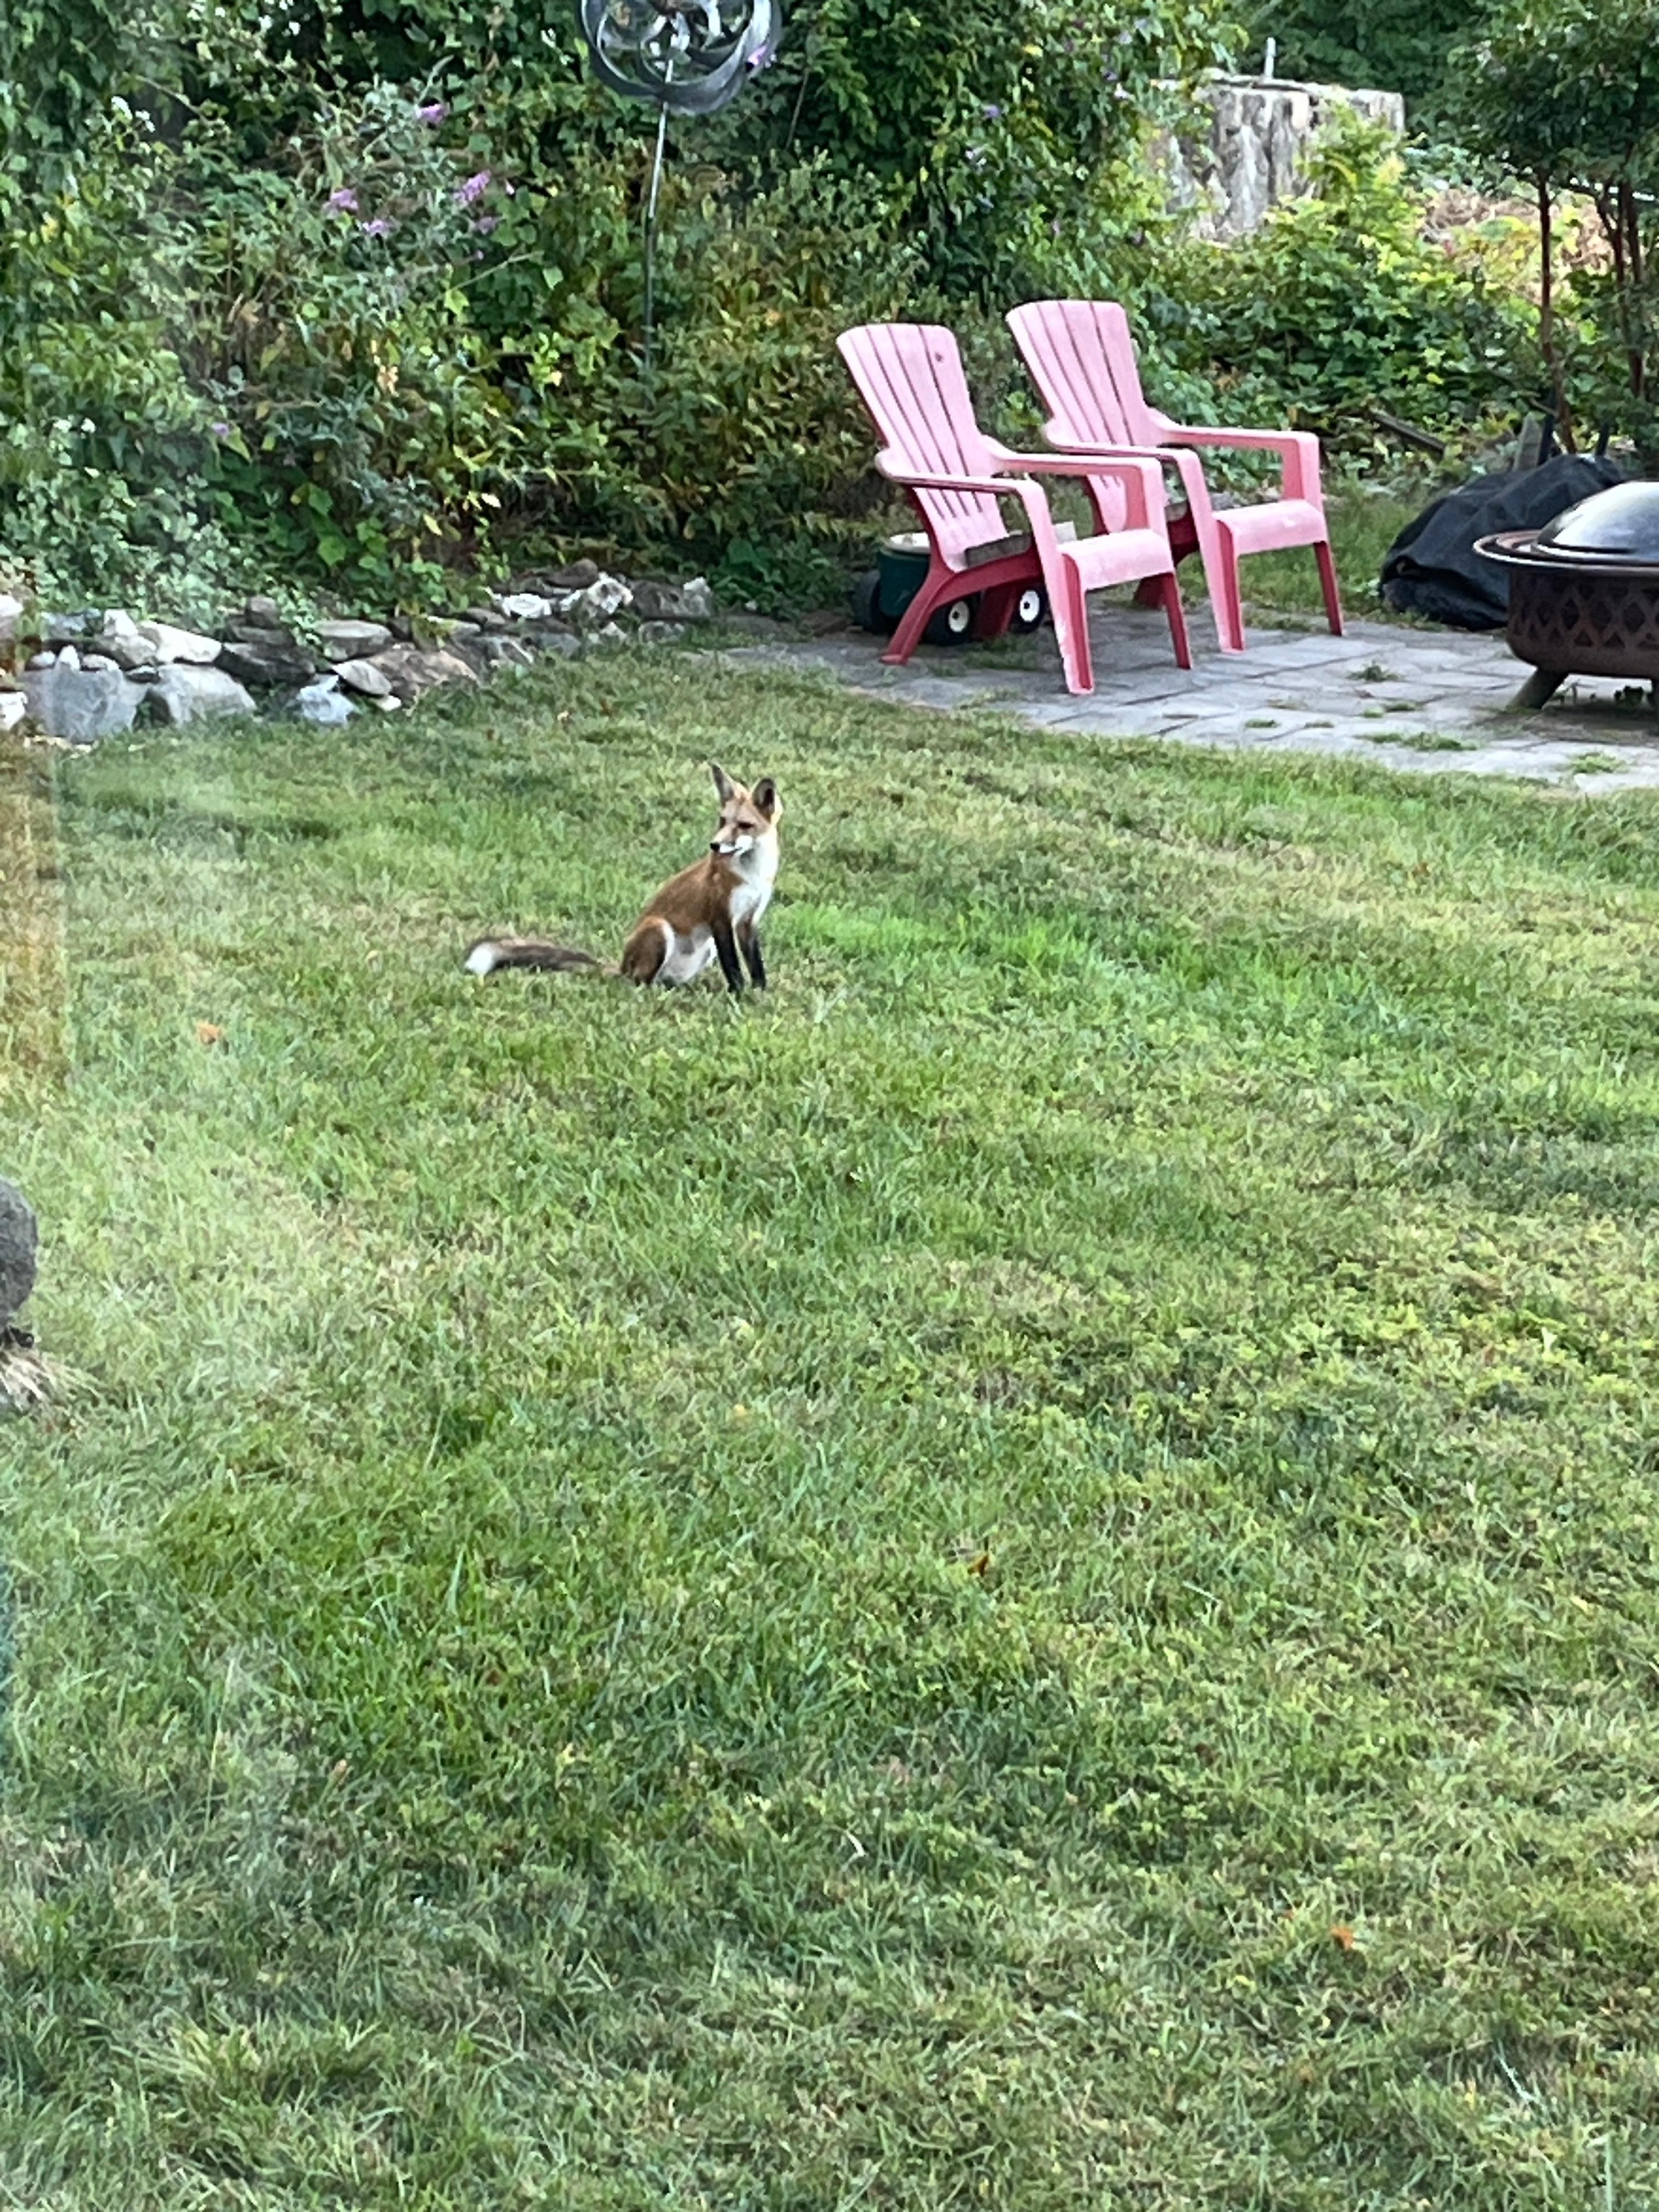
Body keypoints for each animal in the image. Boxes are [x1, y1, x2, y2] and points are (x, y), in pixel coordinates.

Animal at [463, 763, 780, 995]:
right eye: (722, 821)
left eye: (744, 825)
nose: (715, 846)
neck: (752, 876)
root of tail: (621, 965)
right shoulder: (720, 918)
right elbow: (734, 967)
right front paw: (739, 994)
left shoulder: (748, 920)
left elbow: (755, 964)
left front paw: (760, 993)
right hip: (659, 929)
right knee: (639, 983)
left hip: (703, 951)